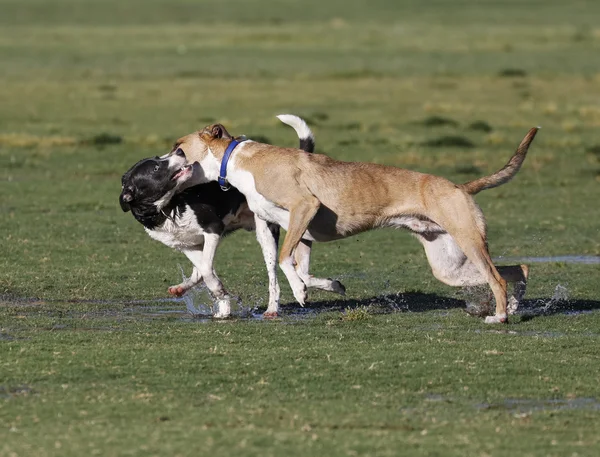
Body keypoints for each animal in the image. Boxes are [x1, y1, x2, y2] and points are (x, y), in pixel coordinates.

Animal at [119, 115, 344, 318]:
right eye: (157, 167)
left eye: (158, 160)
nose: (181, 152)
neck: (169, 207)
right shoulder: (187, 245)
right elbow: (203, 270)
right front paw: (222, 304)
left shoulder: (213, 229)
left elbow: (207, 270)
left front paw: (220, 296)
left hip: (266, 234)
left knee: (275, 276)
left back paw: (278, 306)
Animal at [171, 119, 536, 322]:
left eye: (178, 148)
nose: (160, 161)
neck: (237, 160)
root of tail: (460, 186)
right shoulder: (295, 231)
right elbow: (289, 267)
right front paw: (304, 293)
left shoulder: (305, 207)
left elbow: (287, 262)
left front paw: (301, 293)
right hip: (449, 267)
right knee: (517, 270)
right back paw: (513, 306)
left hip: (467, 241)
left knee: (498, 278)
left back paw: (500, 317)